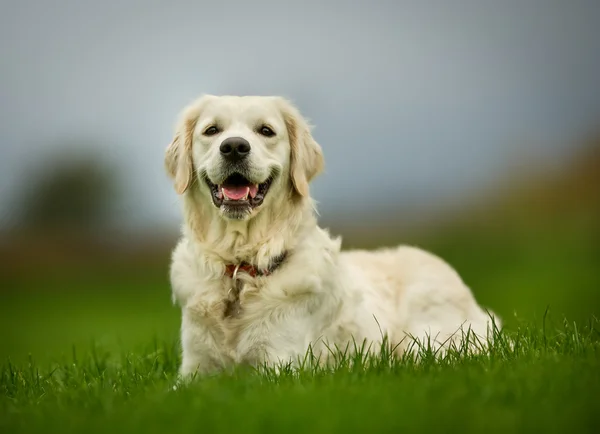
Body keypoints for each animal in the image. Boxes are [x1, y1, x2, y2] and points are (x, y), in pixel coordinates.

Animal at [166, 95, 500, 376]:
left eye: (266, 131)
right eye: (212, 130)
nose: (234, 147)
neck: (240, 268)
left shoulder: (280, 366)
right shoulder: (194, 371)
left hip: (429, 335)